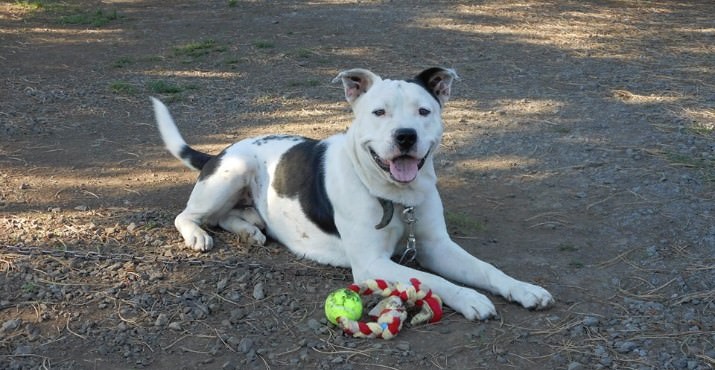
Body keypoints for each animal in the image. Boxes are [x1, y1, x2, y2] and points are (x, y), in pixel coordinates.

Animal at [151, 67, 552, 320]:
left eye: (424, 111)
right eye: (378, 112)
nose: (405, 136)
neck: (395, 196)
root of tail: (219, 152)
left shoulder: (437, 246)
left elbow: (486, 268)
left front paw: (523, 289)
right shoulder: (372, 263)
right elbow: (435, 281)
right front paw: (470, 298)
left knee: (229, 217)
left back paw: (250, 230)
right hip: (233, 172)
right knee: (189, 215)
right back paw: (198, 235)